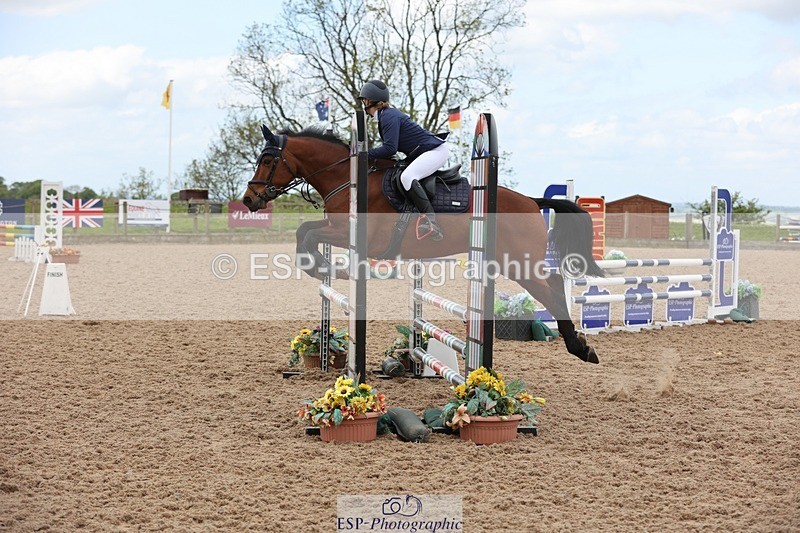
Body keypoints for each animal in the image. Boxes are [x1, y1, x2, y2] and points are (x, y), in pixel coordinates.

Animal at [243, 126, 605, 364]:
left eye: (266, 160)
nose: (249, 199)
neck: (346, 178)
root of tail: (531, 201)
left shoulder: (352, 235)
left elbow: (309, 236)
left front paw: (324, 267)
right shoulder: (336, 227)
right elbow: (304, 231)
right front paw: (321, 267)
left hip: (519, 262)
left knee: (552, 286)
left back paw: (580, 347)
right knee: (553, 283)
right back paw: (579, 344)